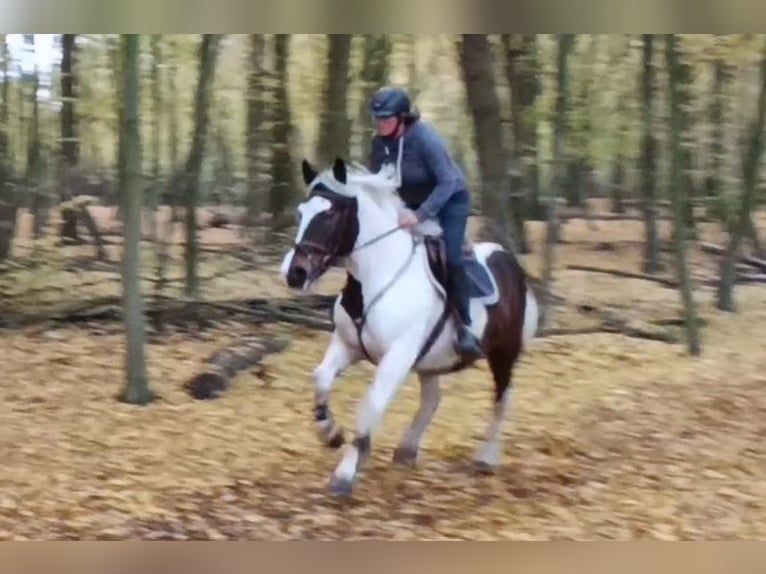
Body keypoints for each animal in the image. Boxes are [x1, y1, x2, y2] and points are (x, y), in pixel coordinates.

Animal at [280, 158, 540, 500]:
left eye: (331, 214)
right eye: (301, 212)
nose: (295, 273)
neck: (376, 276)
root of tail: (511, 263)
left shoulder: (397, 356)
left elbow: (371, 405)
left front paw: (345, 474)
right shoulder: (347, 346)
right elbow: (321, 379)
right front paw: (331, 434)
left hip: (503, 352)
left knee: (502, 396)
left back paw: (487, 457)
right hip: (431, 359)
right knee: (432, 399)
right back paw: (407, 449)